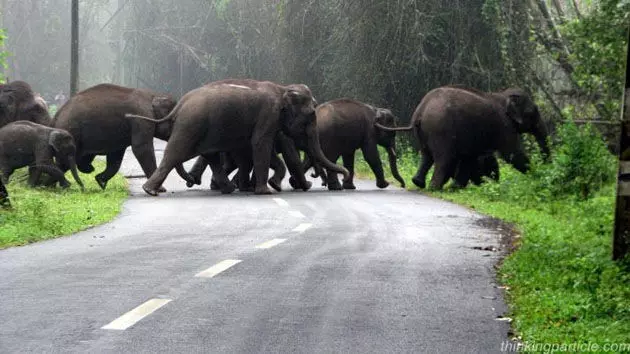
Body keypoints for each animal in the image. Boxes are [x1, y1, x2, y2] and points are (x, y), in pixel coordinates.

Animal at [51, 83, 180, 191]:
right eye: (174, 120)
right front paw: (161, 189)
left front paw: (100, 181)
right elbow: (141, 148)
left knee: (67, 163)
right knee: (65, 162)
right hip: (72, 132)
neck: (153, 95)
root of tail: (55, 117)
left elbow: (116, 156)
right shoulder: (141, 118)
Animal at [128, 79, 350, 196]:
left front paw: (256, 187)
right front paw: (266, 191)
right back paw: (151, 190)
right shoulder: (268, 115)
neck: (283, 89)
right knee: (175, 153)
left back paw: (225, 188)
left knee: (210, 156)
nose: (346, 172)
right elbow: (262, 145)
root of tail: (181, 104)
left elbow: (255, 150)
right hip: (190, 125)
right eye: (311, 114)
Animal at [378, 85, 552, 189]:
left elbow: (470, 157)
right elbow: (512, 154)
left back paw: (419, 183)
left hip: (424, 132)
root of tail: (421, 111)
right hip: (441, 129)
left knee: (427, 156)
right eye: (532, 113)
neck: (504, 95)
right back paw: (435, 188)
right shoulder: (505, 126)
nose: (547, 167)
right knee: (444, 158)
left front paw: (456, 188)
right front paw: (537, 175)